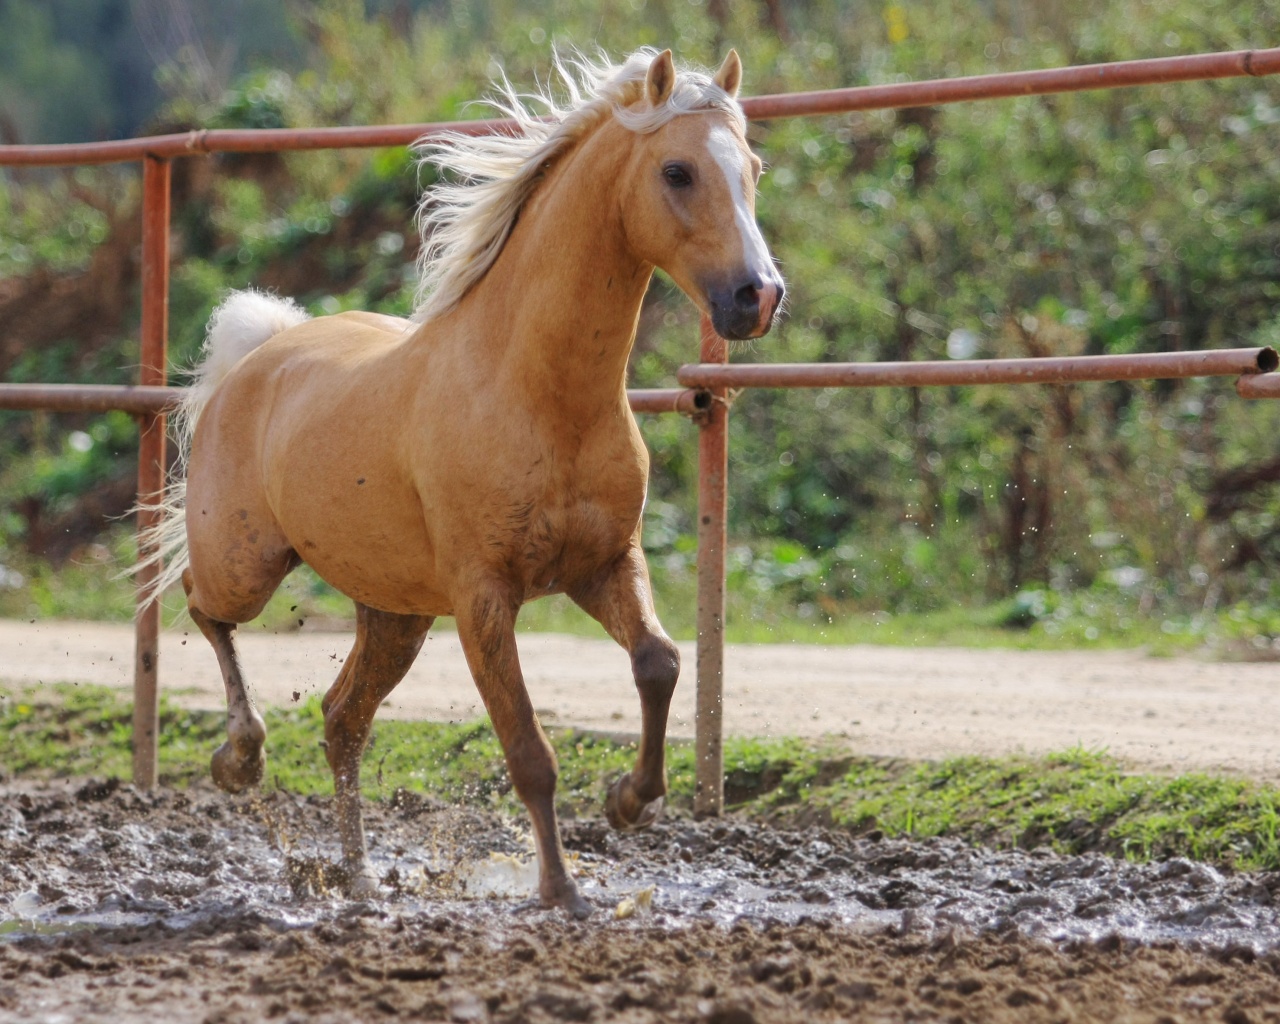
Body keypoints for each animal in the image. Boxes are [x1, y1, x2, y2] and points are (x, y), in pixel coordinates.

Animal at [140, 48, 778, 916]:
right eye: (677, 171)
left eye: (752, 168)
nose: (758, 296)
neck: (539, 393)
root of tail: (260, 353)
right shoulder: (484, 598)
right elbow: (530, 751)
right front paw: (560, 891)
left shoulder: (605, 564)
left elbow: (661, 661)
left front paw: (628, 801)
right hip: (247, 564)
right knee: (205, 609)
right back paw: (241, 758)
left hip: (395, 613)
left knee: (342, 720)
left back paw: (359, 878)